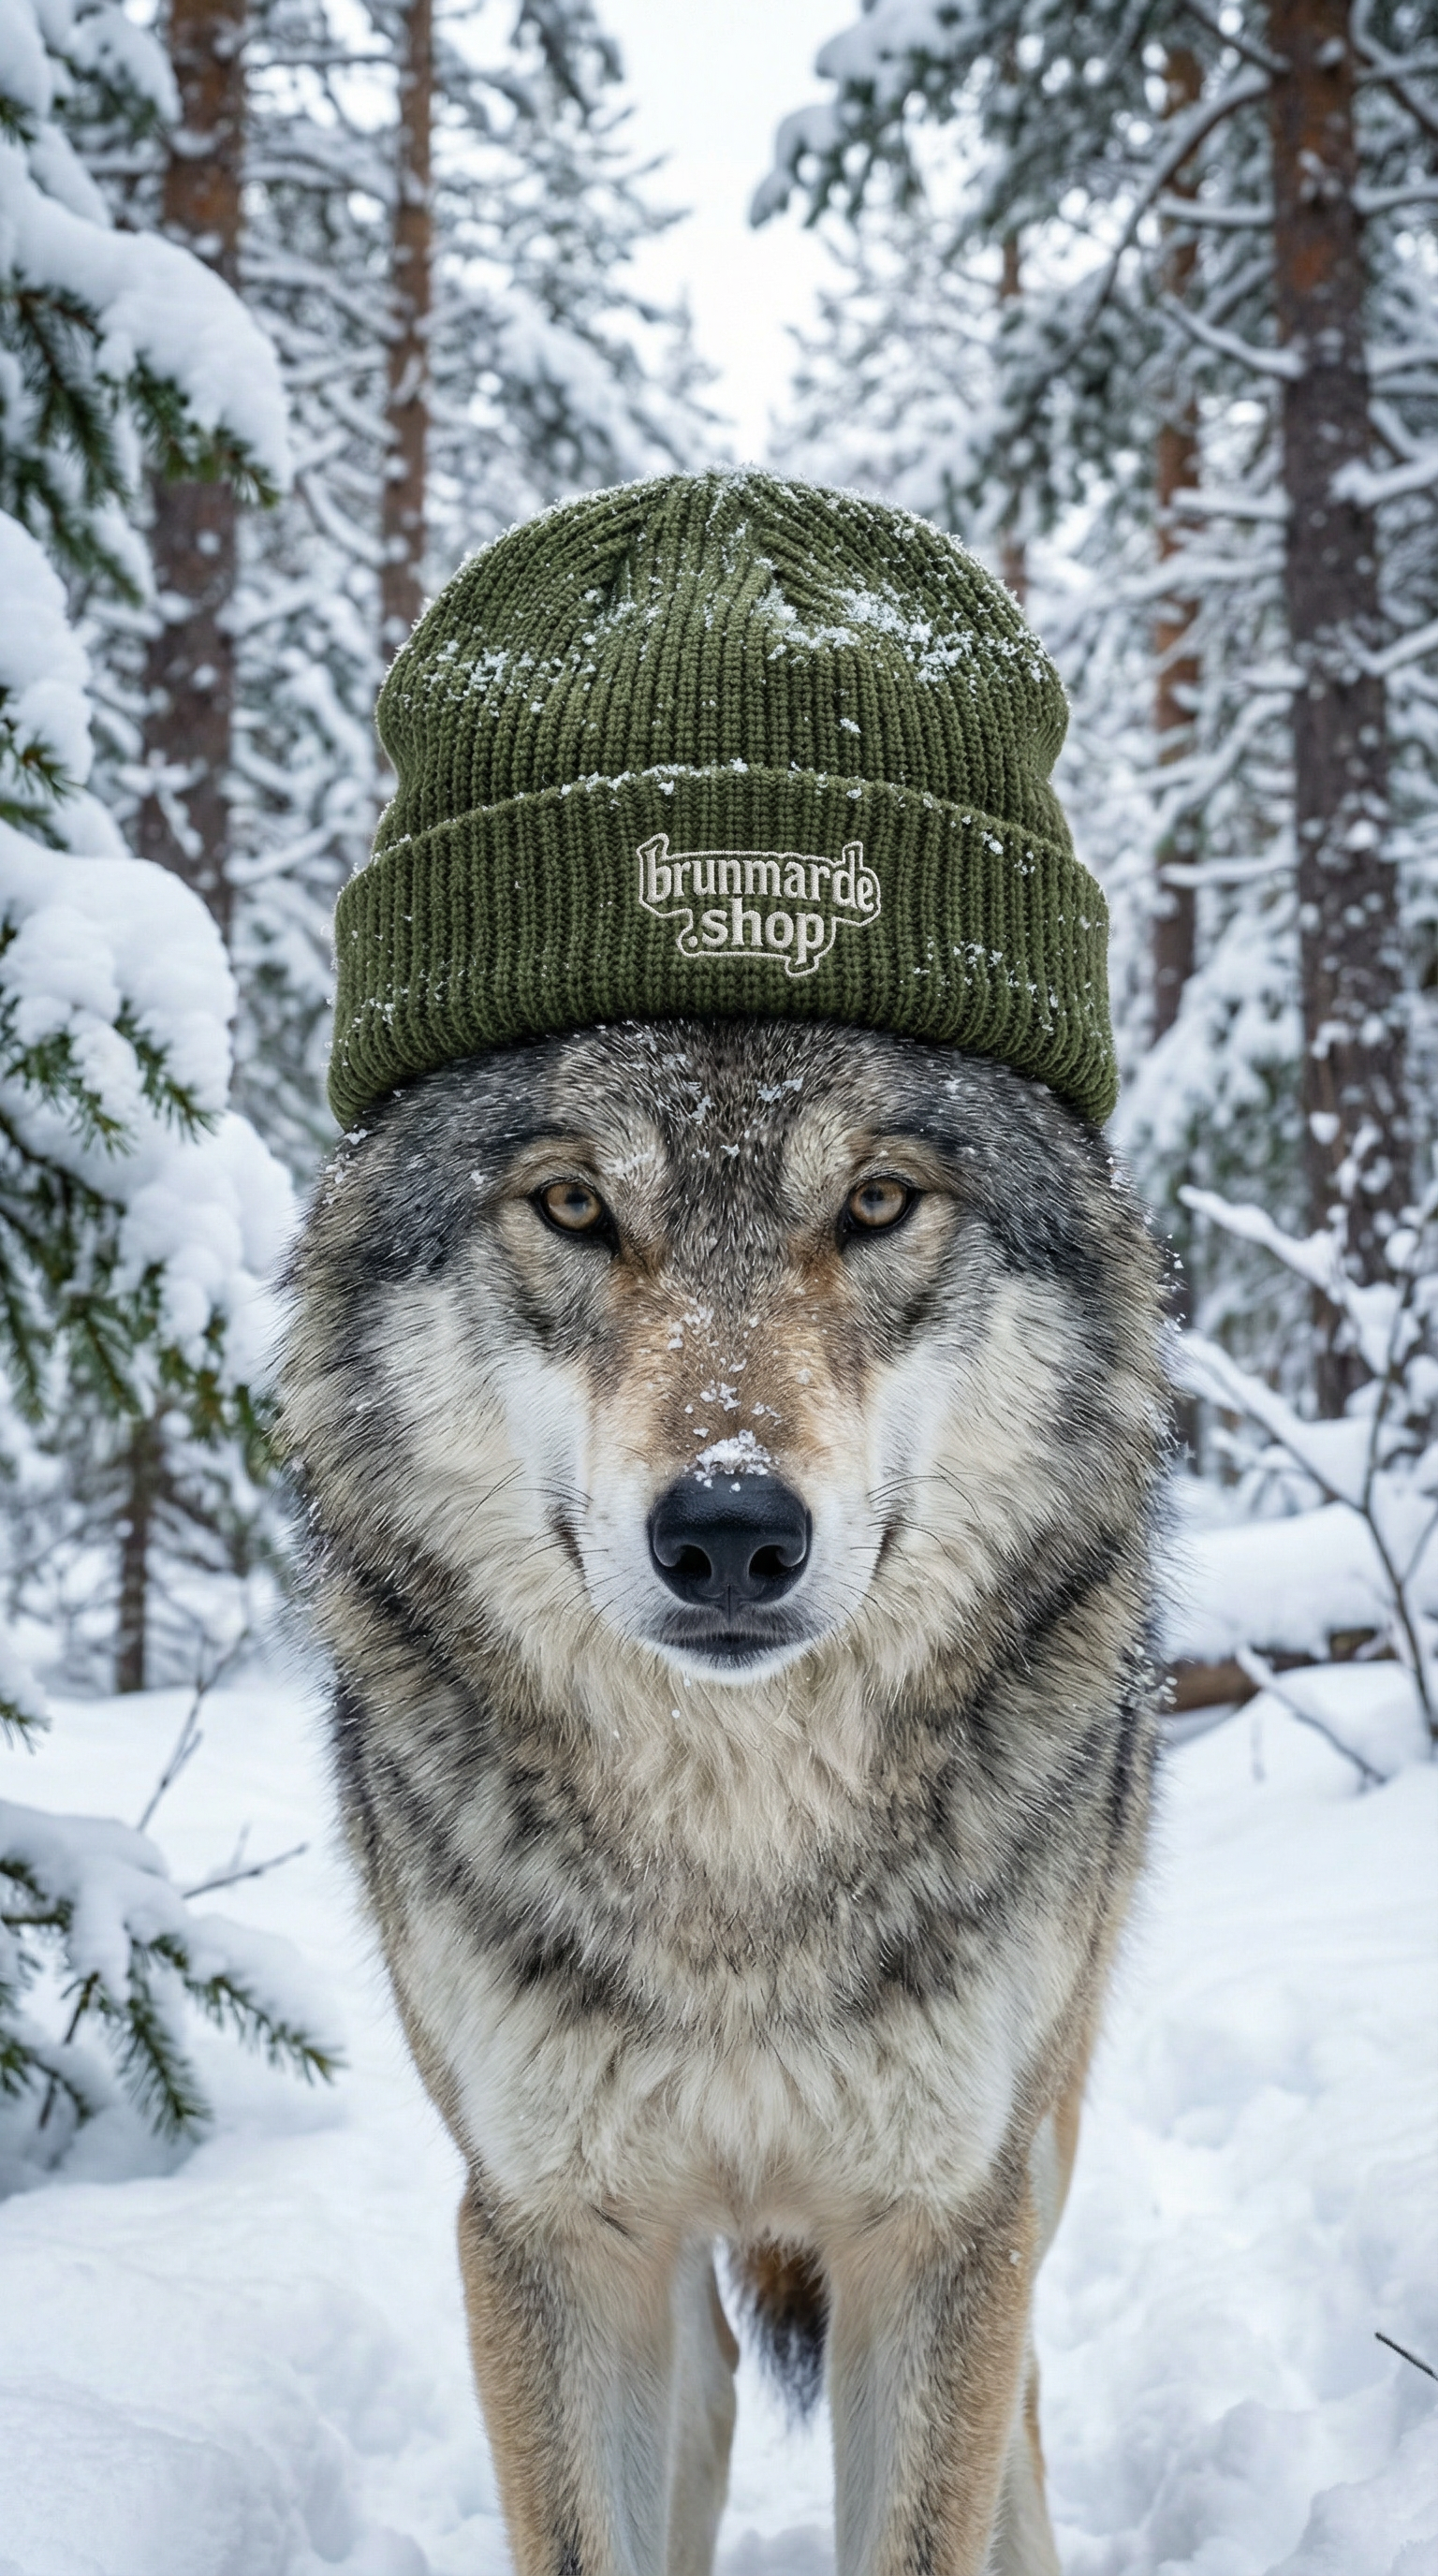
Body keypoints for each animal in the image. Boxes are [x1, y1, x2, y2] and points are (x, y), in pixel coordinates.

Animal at [283, 1015, 1166, 2576]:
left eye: (877, 1203)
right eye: (575, 1206)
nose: (732, 1531)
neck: (737, 1870)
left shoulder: (942, 2222)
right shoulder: (547, 2228)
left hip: (1035, 2148)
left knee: (1019, 2410)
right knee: (712, 2401)